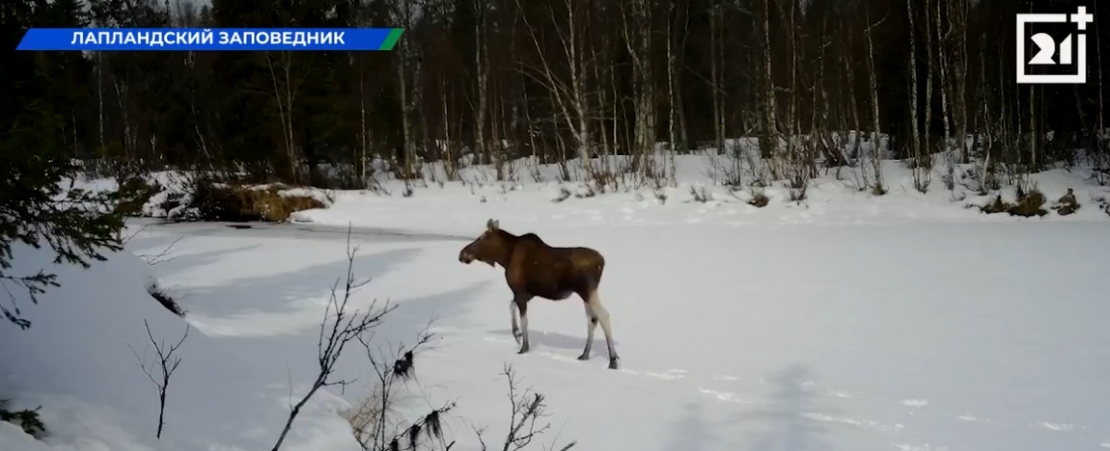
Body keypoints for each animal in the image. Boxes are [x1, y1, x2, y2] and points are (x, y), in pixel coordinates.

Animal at [458, 219, 620, 370]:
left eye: (480, 237)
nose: (462, 254)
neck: (504, 257)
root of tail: (602, 262)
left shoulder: (519, 289)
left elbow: (524, 318)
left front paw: (524, 347)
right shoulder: (529, 293)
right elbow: (511, 305)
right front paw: (516, 334)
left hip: (586, 290)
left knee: (604, 315)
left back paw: (612, 360)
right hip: (586, 293)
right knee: (592, 318)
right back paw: (585, 354)